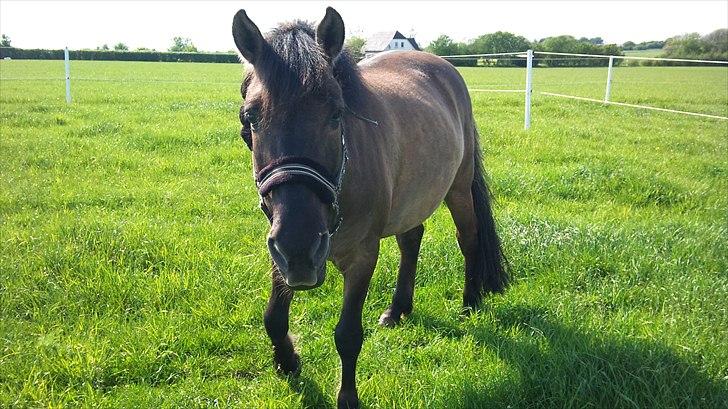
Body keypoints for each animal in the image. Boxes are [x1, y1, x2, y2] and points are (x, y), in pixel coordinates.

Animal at [232, 7, 506, 408]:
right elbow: (273, 317)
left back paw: (470, 302)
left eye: (336, 114)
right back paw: (399, 308)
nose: (301, 245)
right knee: (411, 239)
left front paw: (347, 397)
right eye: (250, 117)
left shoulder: (362, 257)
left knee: (467, 238)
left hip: (458, 189)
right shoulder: (279, 252)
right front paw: (287, 361)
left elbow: (347, 334)